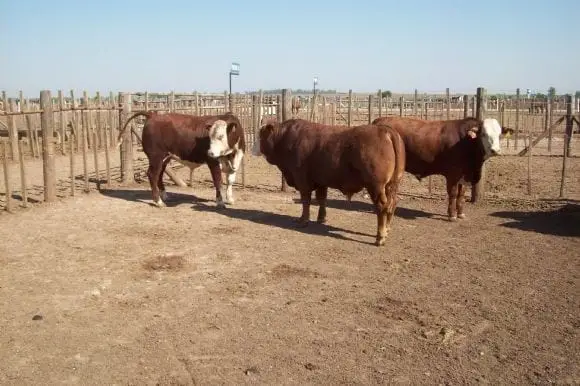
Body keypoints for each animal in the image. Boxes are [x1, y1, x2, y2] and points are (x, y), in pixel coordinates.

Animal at [251, 117, 406, 246]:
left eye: (260, 135)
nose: (252, 149)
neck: (283, 139)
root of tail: (385, 130)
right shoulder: (322, 180)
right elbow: (322, 199)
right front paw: (321, 218)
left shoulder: (301, 179)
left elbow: (306, 200)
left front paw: (303, 220)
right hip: (392, 185)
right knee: (392, 203)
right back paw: (387, 230)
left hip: (376, 186)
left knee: (382, 206)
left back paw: (380, 237)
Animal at [372, 115, 502, 220]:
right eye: (484, 134)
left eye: (499, 135)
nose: (495, 150)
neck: (465, 141)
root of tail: (378, 121)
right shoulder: (453, 175)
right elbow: (453, 194)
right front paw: (452, 215)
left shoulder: (463, 175)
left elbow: (461, 194)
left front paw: (460, 214)